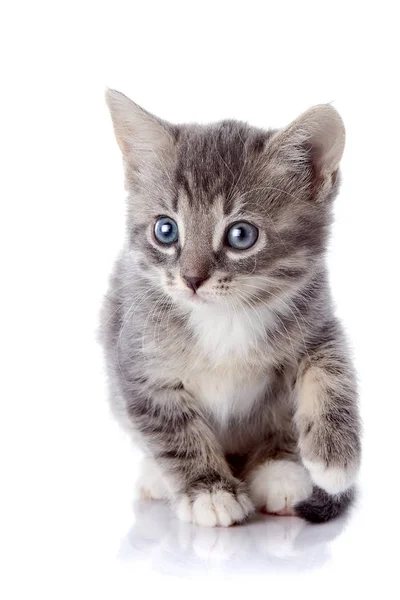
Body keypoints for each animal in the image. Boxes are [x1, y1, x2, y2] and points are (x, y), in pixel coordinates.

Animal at [99, 89, 360, 524]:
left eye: (241, 235)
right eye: (165, 229)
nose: (191, 279)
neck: (226, 316)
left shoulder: (317, 320)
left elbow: (329, 371)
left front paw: (331, 459)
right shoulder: (137, 357)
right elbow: (171, 427)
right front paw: (209, 490)